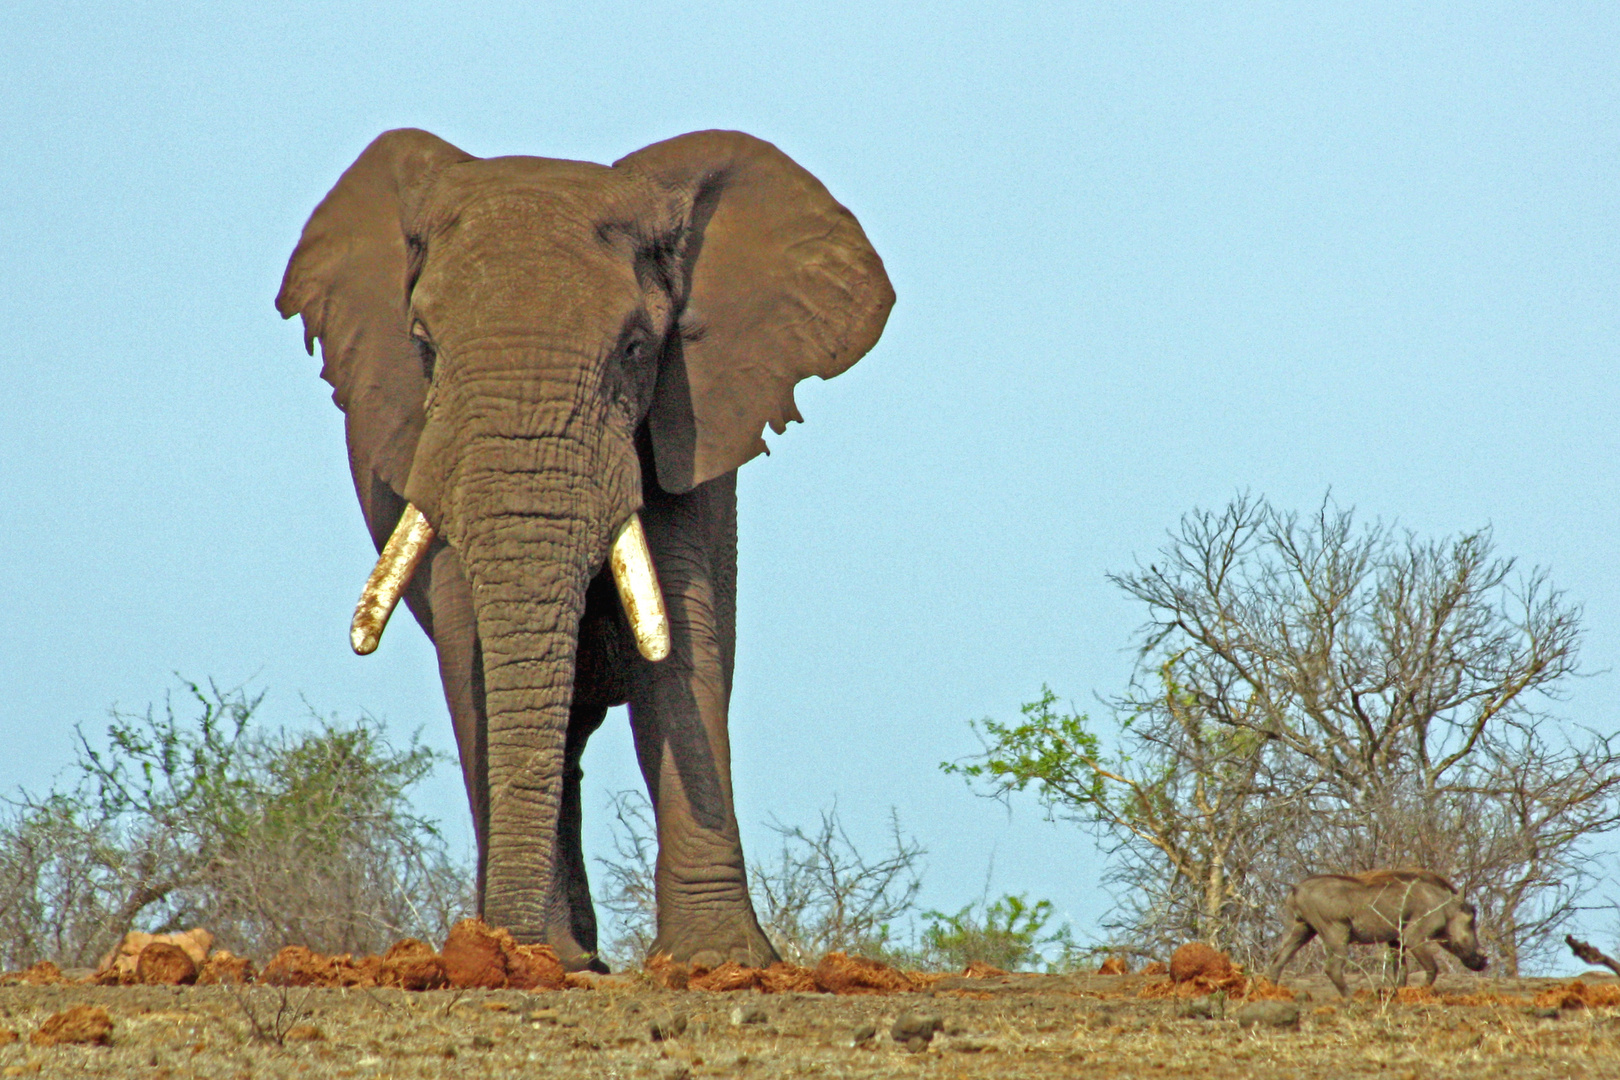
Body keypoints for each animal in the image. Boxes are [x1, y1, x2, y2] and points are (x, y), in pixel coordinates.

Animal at [272, 127, 894, 971]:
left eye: (634, 348)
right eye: (423, 347)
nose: (507, 941)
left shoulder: (681, 420)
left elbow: (684, 636)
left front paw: (719, 962)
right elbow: (473, 647)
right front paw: (541, 959)